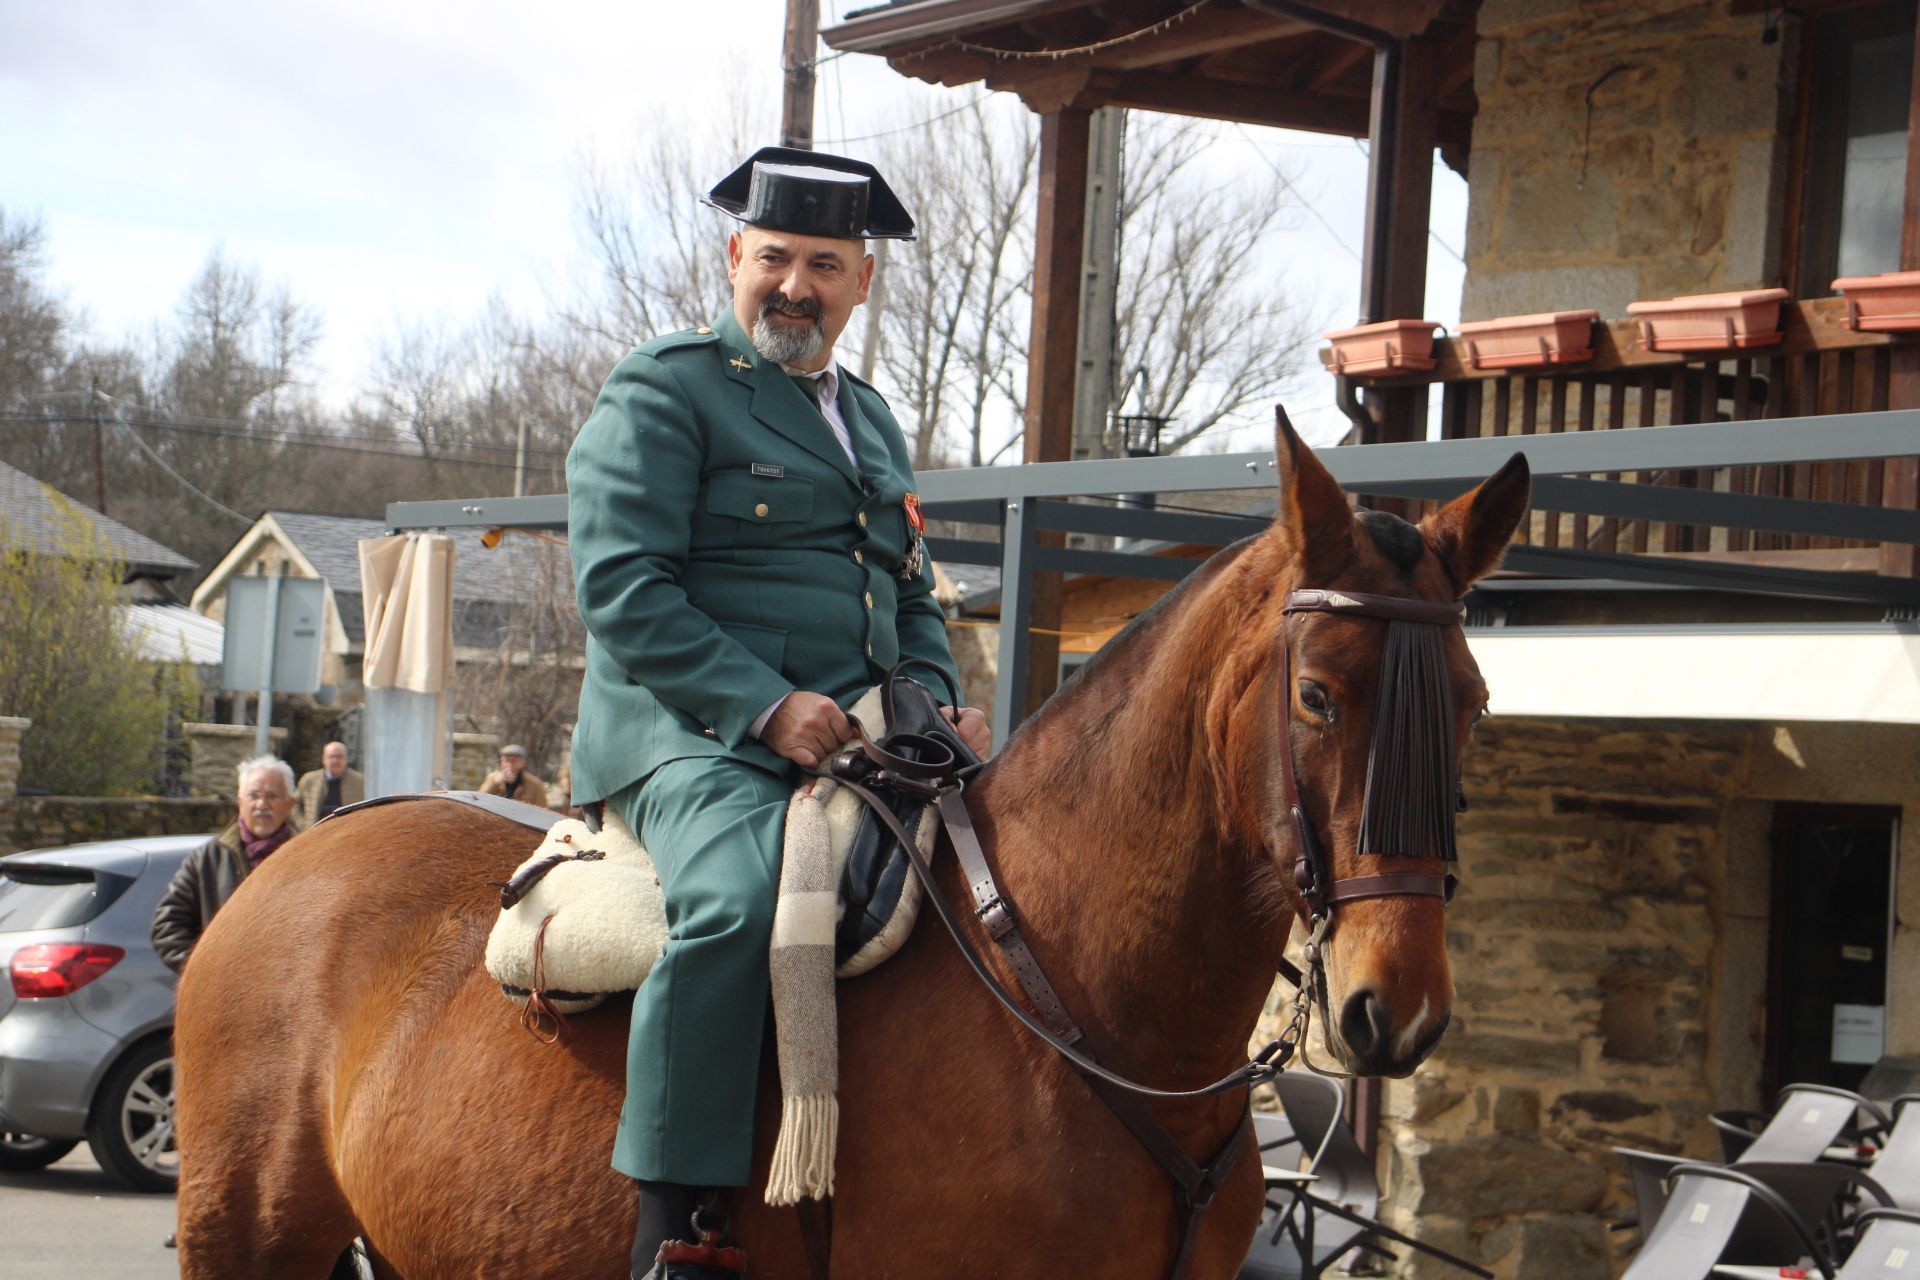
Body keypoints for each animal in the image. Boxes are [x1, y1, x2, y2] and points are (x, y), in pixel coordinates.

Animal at [172, 416, 1520, 1274]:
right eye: (1320, 695)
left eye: (1473, 699)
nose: (1394, 1007)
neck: (1078, 1005)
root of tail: (303, 848)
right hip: (248, 1240)